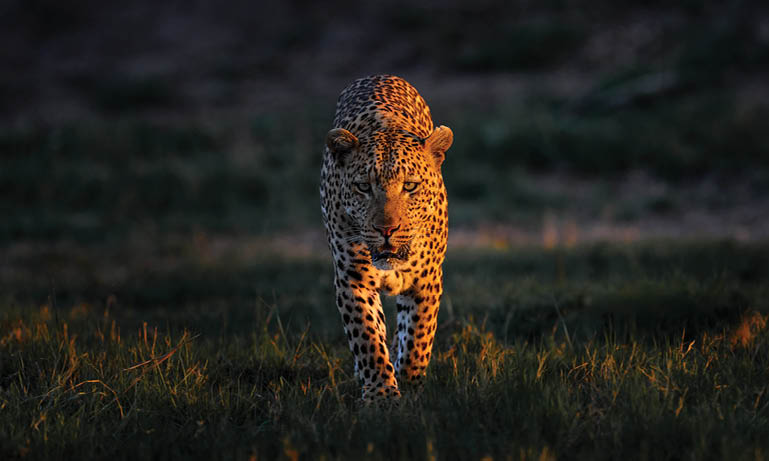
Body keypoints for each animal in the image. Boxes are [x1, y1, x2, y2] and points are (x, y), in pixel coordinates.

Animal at [320, 75, 453, 404]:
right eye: (364, 187)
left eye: (410, 186)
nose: (387, 229)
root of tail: (379, 76)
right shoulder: (352, 279)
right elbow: (367, 338)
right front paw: (381, 394)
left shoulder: (427, 278)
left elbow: (418, 335)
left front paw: (410, 383)